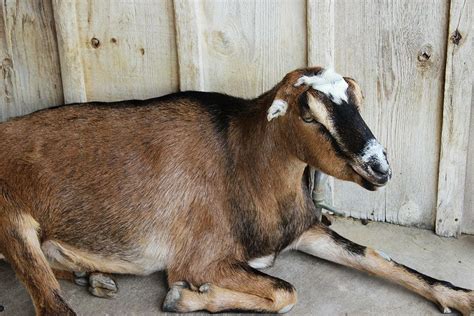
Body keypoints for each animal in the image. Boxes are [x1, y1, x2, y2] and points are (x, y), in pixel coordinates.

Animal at [0, 66, 474, 314]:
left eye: (356, 100)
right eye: (307, 113)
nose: (379, 168)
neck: (243, 163)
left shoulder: (306, 230)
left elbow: (379, 258)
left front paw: (461, 298)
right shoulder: (200, 258)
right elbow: (285, 290)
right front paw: (185, 297)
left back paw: (92, 275)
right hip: (12, 221)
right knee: (50, 302)